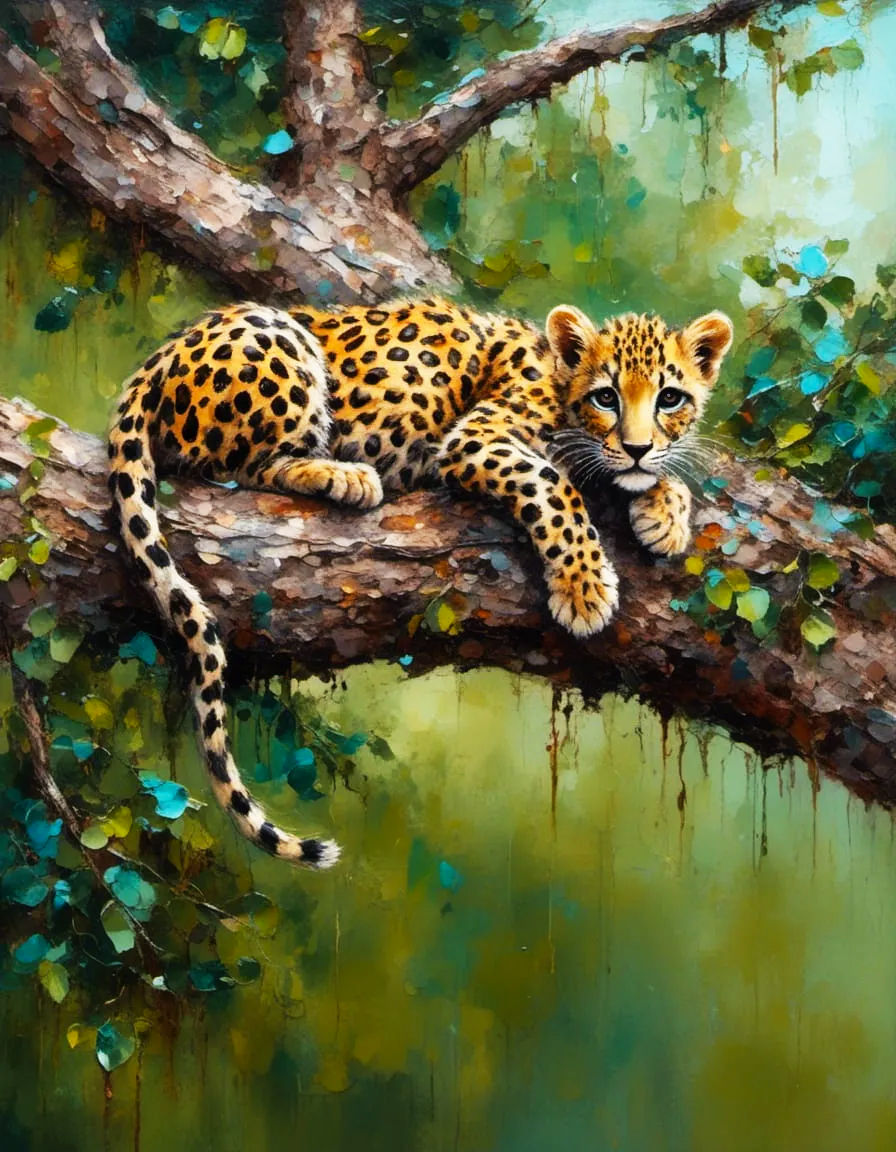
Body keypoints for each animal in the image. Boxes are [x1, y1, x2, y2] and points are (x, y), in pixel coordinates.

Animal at [107, 296, 732, 867]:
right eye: (606, 396)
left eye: (670, 398)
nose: (637, 447)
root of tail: (158, 359)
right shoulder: (480, 438)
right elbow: (553, 485)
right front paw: (585, 589)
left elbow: (650, 478)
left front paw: (666, 514)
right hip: (276, 343)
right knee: (248, 466)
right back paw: (346, 476)